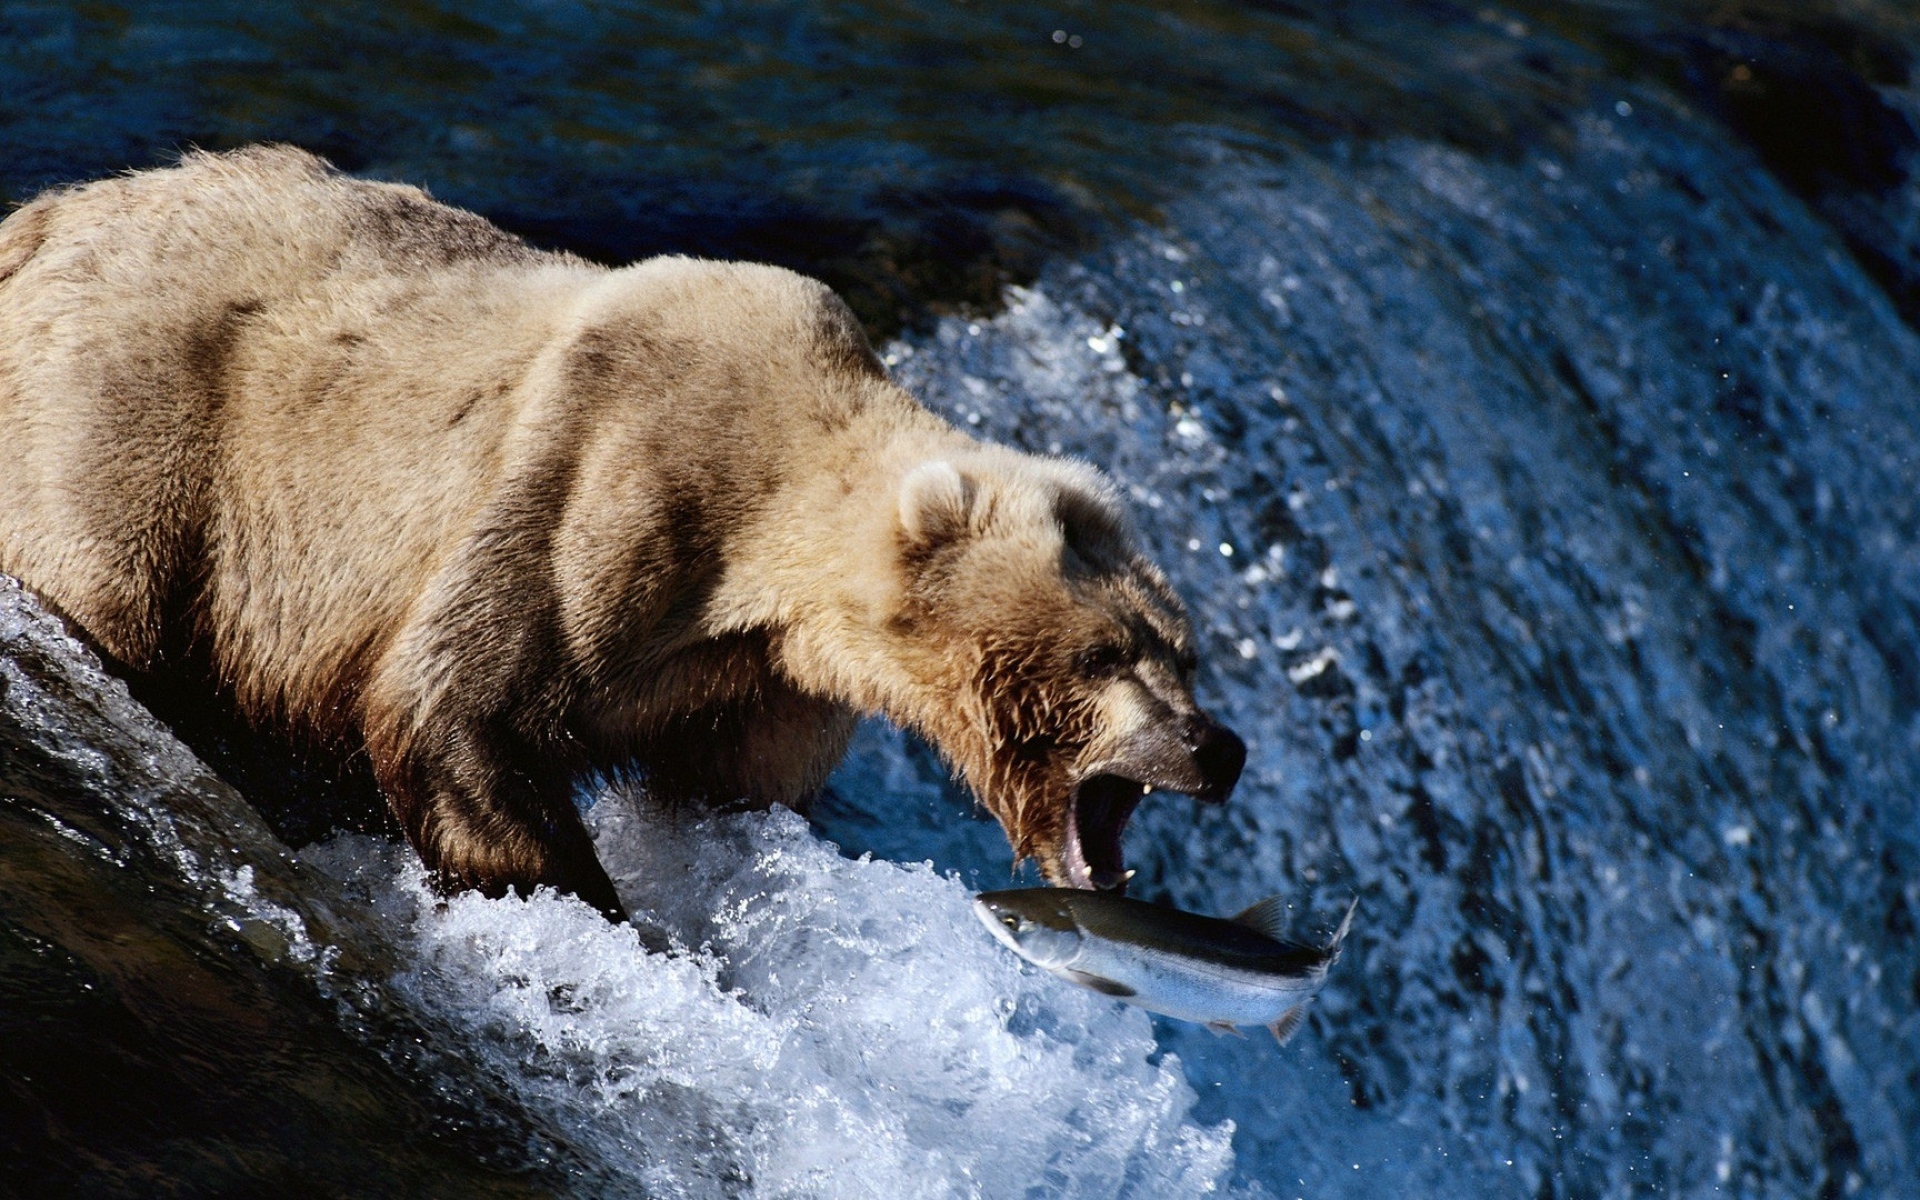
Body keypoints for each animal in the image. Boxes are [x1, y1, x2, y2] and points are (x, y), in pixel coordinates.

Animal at [0, 146, 1245, 922]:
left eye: (1182, 648)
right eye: (1104, 653)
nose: (1215, 747)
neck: (763, 561)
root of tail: (48, 211)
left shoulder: (762, 682)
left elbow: (729, 793)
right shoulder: (606, 489)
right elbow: (452, 702)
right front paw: (597, 905)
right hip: (137, 415)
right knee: (109, 582)